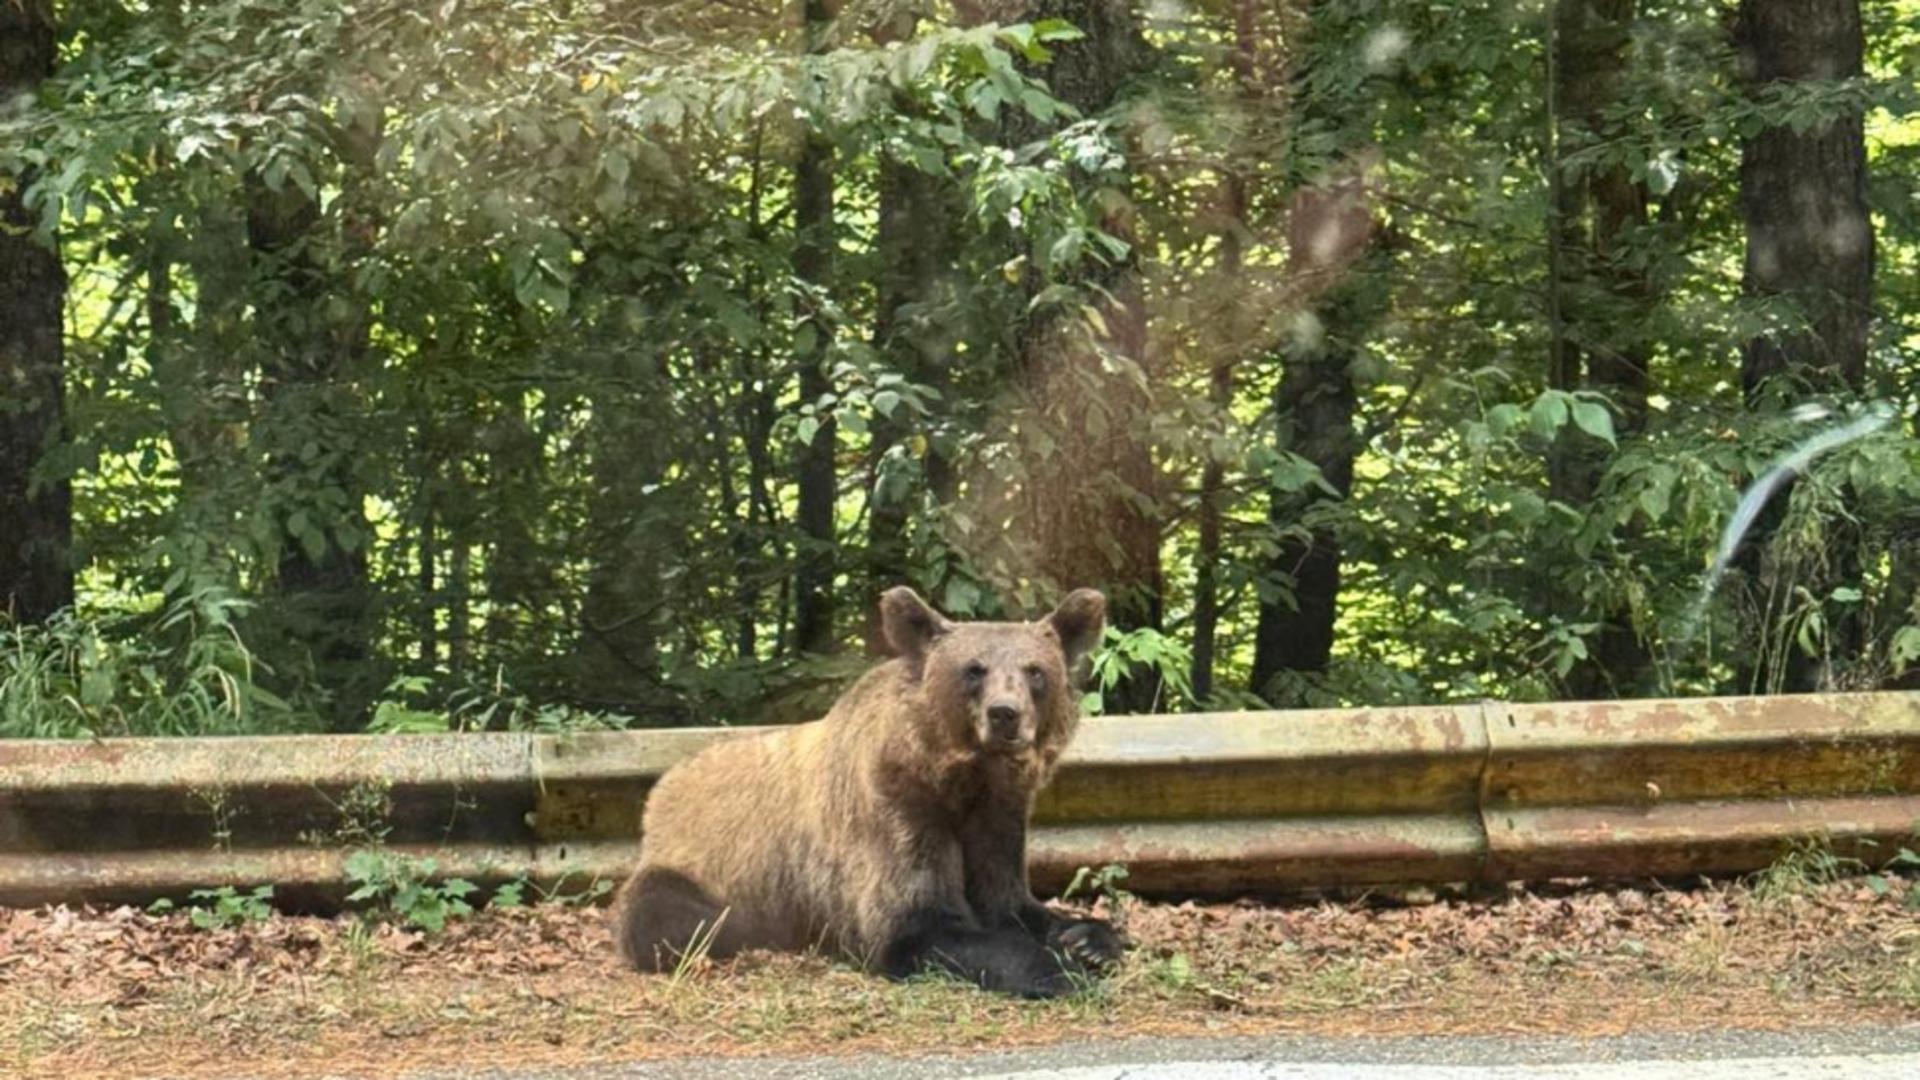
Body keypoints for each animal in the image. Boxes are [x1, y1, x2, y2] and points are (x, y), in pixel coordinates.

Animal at [610, 584, 1121, 999]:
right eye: (974, 670)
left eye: (1035, 671)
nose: (1004, 714)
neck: (958, 777)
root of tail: (664, 786)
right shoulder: (897, 809)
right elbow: (915, 924)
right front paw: (1061, 970)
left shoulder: (997, 814)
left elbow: (1008, 899)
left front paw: (1088, 940)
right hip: (696, 861)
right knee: (673, 919)